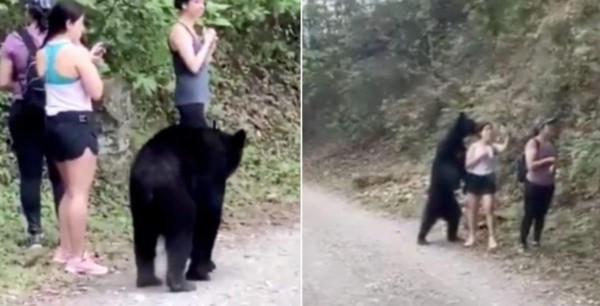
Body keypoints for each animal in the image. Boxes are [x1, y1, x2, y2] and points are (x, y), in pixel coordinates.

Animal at [129, 125, 246, 294]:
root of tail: (149, 181)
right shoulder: (211, 174)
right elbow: (209, 215)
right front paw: (201, 271)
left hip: (140, 206)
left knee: (144, 237)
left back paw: (148, 280)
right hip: (176, 198)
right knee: (181, 232)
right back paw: (180, 283)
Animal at [418, 113, 478, 246]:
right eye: (472, 122)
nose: (480, 126)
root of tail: (441, 213)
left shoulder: (461, 153)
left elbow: (465, 168)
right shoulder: (445, 161)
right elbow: (452, 175)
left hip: (452, 208)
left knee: (454, 219)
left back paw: (453, 237)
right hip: (434, 205)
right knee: (427, 221)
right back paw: (421, 238)